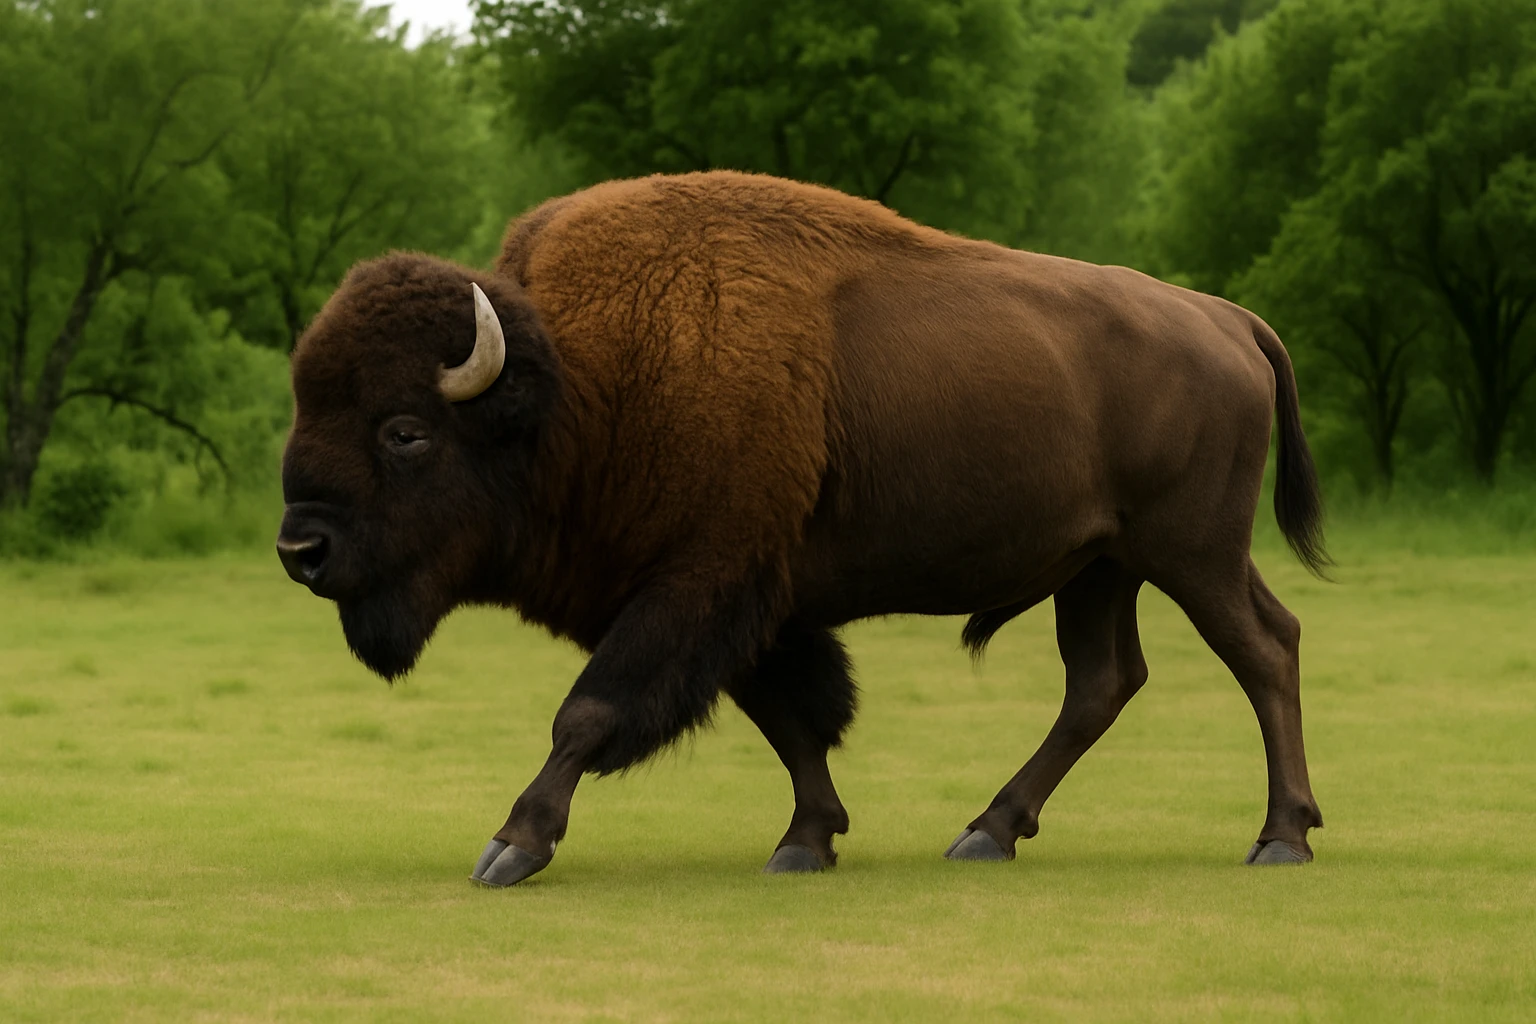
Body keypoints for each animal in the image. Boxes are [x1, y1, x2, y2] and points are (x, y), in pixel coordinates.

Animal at [278, 171, 1327, 886]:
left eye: (404, 431)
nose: (300, 549)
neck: (577, 388)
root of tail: (1227, 317)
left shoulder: (695, 585)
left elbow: (592, 711)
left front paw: (512, 845)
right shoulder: (751, 602)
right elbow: (790, 718)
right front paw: (807, 840)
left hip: (1190, 551)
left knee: (1263, 651)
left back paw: (1279, 837)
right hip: (1103, 565)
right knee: (1106, 681)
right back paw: (987, 831)